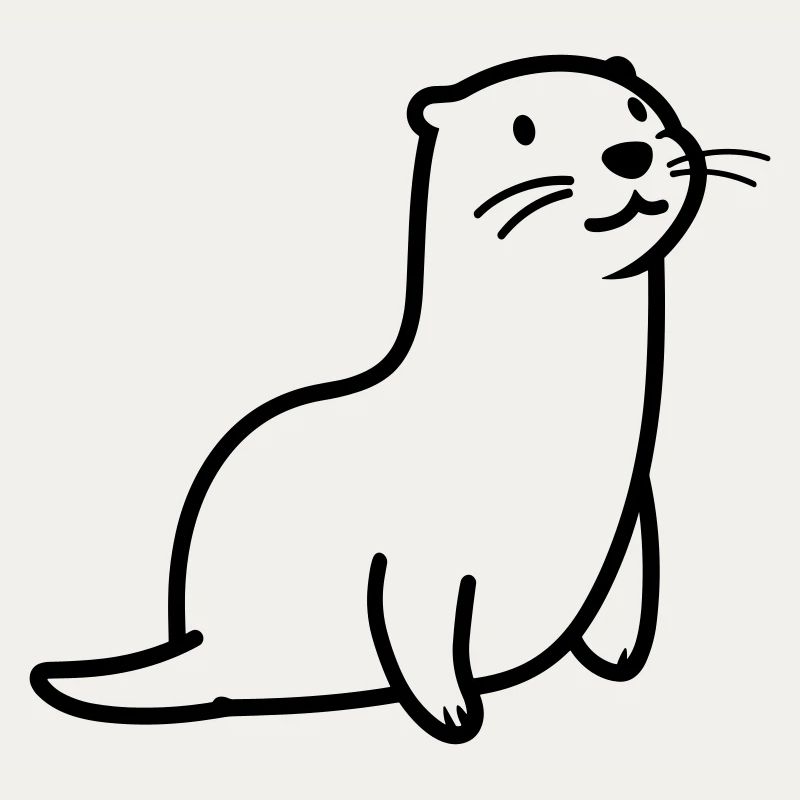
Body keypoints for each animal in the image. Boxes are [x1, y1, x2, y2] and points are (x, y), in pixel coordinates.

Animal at [31, 55, 768, 744]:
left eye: (638, 107)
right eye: (523, 129)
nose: (629, 152)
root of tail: (203, 644)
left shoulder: (633, 502)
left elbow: (628, 575)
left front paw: (617, 651)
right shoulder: (422, 553)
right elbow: (420, 627)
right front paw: (452, 713)